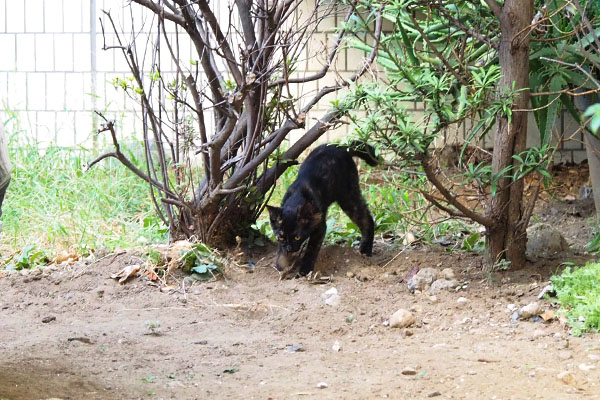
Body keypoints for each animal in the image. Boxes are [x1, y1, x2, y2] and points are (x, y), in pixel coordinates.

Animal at [266, 142, 378, 276]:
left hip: (348, 197)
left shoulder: (319, 226)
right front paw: (282, 263)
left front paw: (304, 270)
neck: (296, 198)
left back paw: (366, 250)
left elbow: (311, 249)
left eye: (297, 237)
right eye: (281, 237)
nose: (289, 249)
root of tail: (342, 146)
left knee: (367, 218)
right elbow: (280, 252)